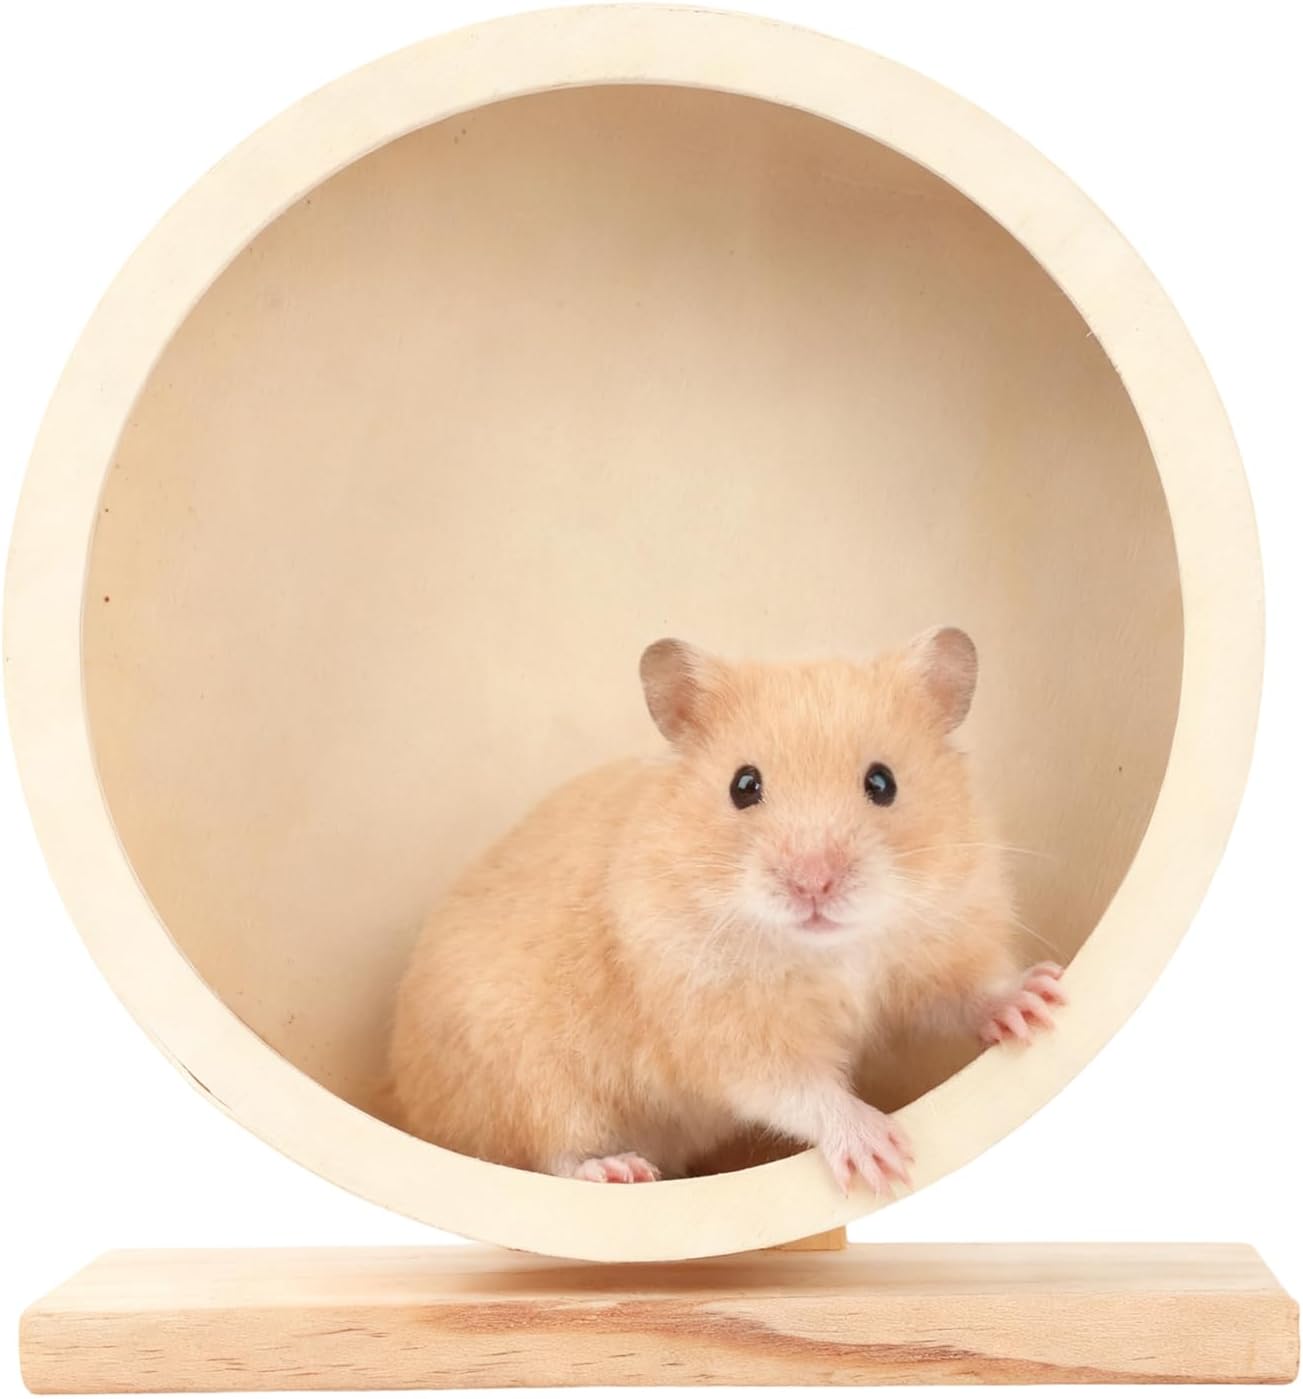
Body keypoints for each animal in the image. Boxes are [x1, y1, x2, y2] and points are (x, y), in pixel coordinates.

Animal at [388, 627, 1064, 1191]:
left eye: (883, 783)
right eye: (744, 785)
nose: (813, 884)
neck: (828, 951)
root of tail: (401, 1091)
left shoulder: (940, 942)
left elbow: (968, 992)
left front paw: (1042, 1001)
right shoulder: (728, 1033)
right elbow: (802, 1091)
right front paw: (883, 1156)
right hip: (525, 1081)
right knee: (548, 1156)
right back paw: (619, 1170)